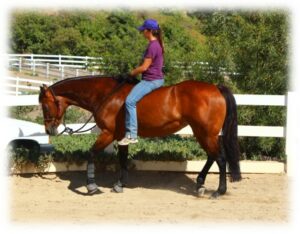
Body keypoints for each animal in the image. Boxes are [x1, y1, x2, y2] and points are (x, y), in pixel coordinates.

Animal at [39, 76, 241, 198]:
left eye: (45, 105)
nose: (49, 130)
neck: (107, 95)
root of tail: (216, 87)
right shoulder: (121, 136)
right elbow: (122, 159)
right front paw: (120, 184)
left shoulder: (108, 133)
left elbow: (91, 154)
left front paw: (92, 187)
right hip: (202, 132)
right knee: (212, 156)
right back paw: (200, 184)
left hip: (206, 133)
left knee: (220, 159)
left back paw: (219, 191)